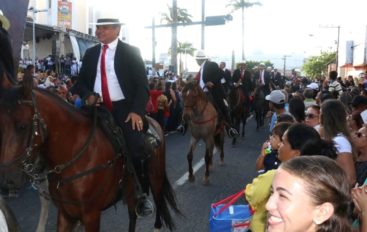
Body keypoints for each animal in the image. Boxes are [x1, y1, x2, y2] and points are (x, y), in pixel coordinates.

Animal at [0, 79, 180, 231]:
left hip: (155, 178)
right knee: (132, 214)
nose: (6, 182)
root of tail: (154, 123)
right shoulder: (66, 214)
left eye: (22, 126)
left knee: (158, 202)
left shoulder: (91, 215)